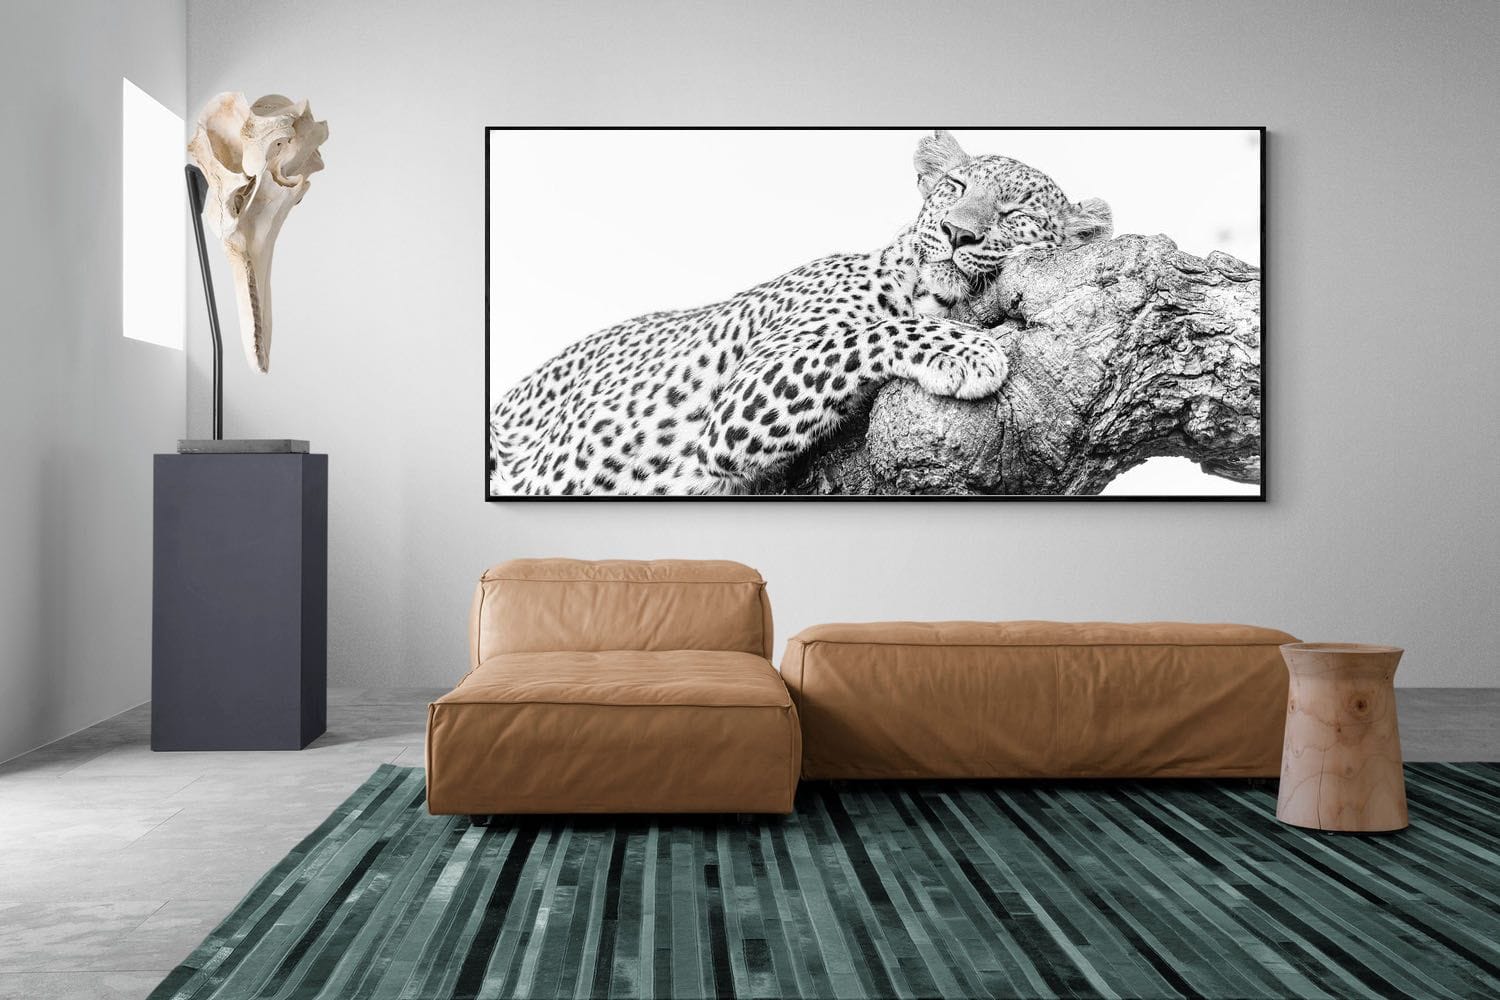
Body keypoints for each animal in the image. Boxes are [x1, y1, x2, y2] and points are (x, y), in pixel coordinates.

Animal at [489, 130, 1112, 496]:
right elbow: (871, 332)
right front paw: (969, 349)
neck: (923, 288)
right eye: (956, 186)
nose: (957, 232)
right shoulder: (734, 411)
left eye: (1014, 213)